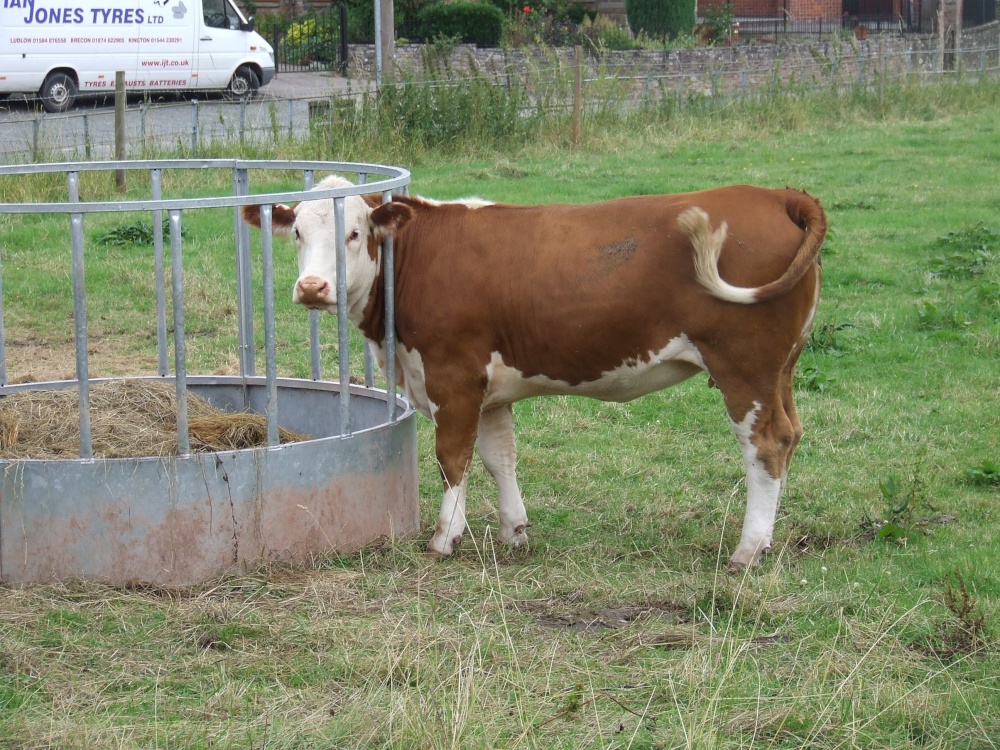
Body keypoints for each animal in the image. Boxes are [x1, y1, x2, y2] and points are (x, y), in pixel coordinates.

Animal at [244, 179, 828, 568]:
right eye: (297, 233)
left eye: (354, 233)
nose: (312, 287)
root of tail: (776, 194)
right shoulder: (491, 390)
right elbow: (498, 456)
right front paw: (514, 529)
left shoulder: (453, 375)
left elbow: (452, 458)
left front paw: (445, 538)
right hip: (781, 370)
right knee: (791, 435)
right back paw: (766, 540)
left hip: (744, 367)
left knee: (765, 444)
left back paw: (747, 550)